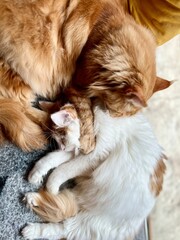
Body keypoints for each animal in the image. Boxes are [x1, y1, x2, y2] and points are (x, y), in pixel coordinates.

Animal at [22, 106, 165, 240]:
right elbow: (49, 160)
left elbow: (60, 171)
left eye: (62, 138)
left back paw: (30, 229)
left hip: (89, 222)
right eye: (57, 141)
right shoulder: (75, 153)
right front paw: (35, 175)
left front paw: (51, 188)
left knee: (63, 228)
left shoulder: (93, 155)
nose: (62, 147)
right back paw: (33, 200)